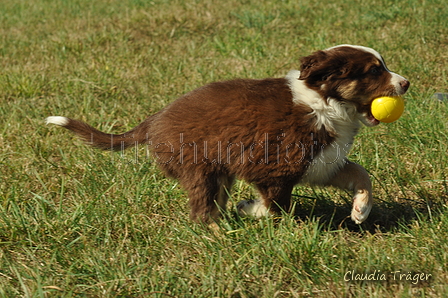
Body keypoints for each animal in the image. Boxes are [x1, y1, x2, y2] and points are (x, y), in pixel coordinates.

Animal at [46, 44, 410, 224]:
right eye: (374, 71)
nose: (406, 83)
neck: (324, 102)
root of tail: (154, 120)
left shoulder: (323, 162)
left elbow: (361, 173)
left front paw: (361, 211)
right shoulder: (274, 164)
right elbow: (276, 204)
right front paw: (251, 210)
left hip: (217, 169)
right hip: (198, 166)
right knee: (201, 210)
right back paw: (217, 232)